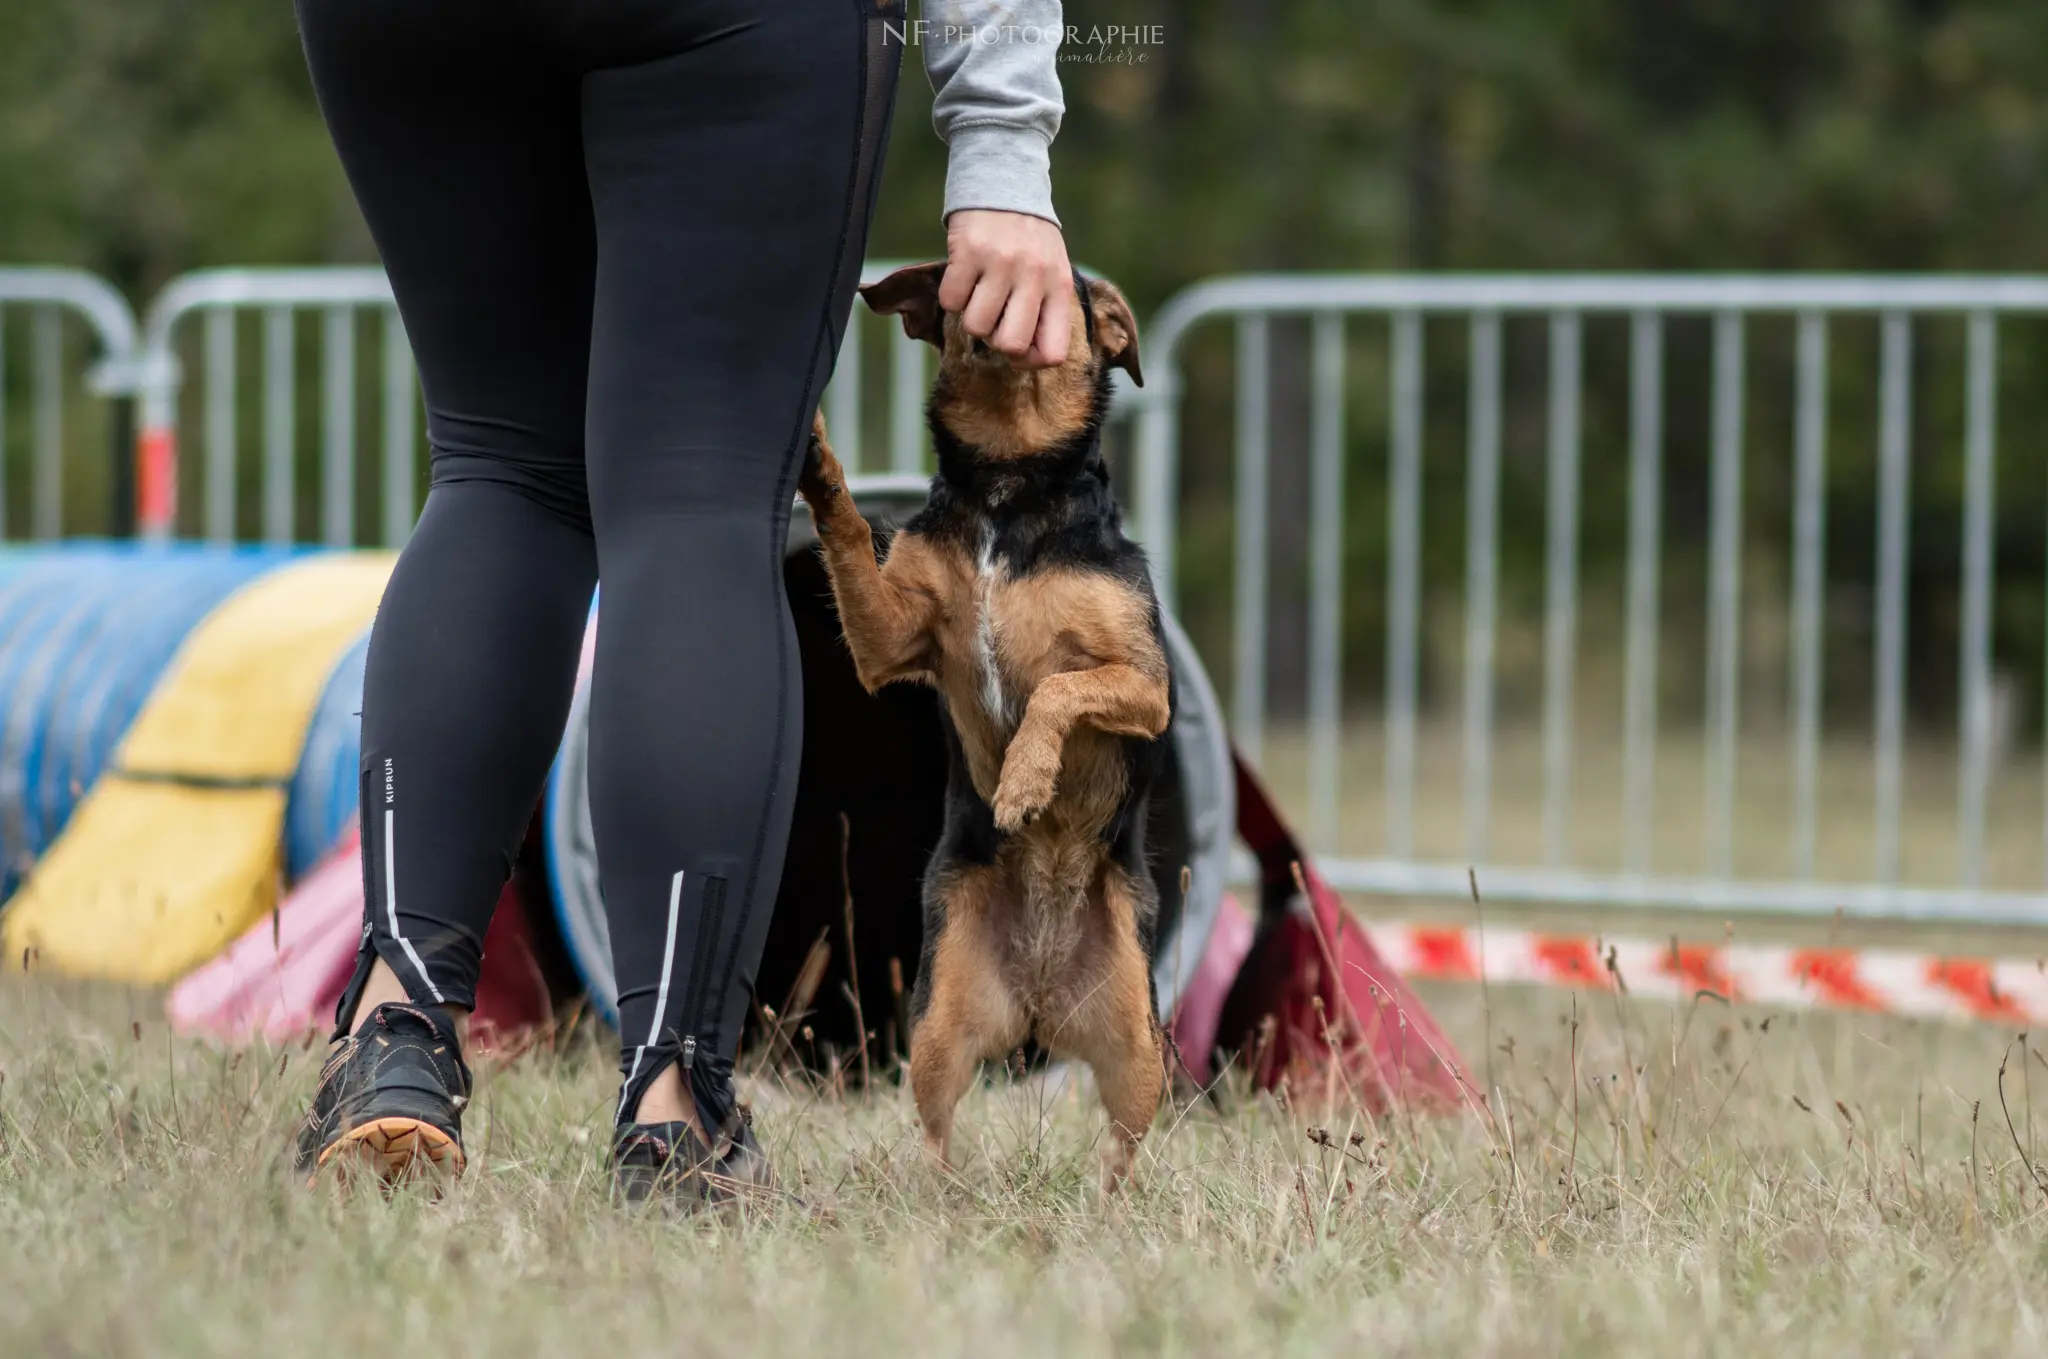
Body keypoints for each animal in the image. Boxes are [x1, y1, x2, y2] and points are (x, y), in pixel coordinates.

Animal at [794, 259, 1171, 1187]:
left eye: (1063, 288)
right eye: (956, 286)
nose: (997, 311)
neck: (1010, 482)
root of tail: (1039, 999)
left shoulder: (1147, 682)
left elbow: (1058, 688)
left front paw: (1025, 781)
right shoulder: (891, 639)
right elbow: (850, 539)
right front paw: (820, 466)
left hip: (1140, 1044)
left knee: (1122, 1145)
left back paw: (1108, 1202)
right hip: (938, 1021)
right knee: (937, 1126)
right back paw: (936, 1193)